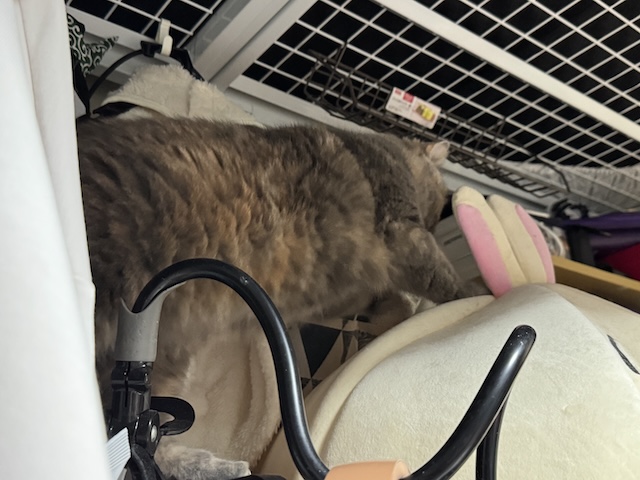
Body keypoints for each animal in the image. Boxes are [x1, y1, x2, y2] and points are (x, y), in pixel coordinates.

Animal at [77, 116, 472, 480]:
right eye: (434, 216)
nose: (436, 224)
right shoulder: (403, 232)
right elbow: (444, 279)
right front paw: (478, 294)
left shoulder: (337, 295)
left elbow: (377, 302)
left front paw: (397, 308)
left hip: (167, 356)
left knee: (142, 436)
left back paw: (218, 467)